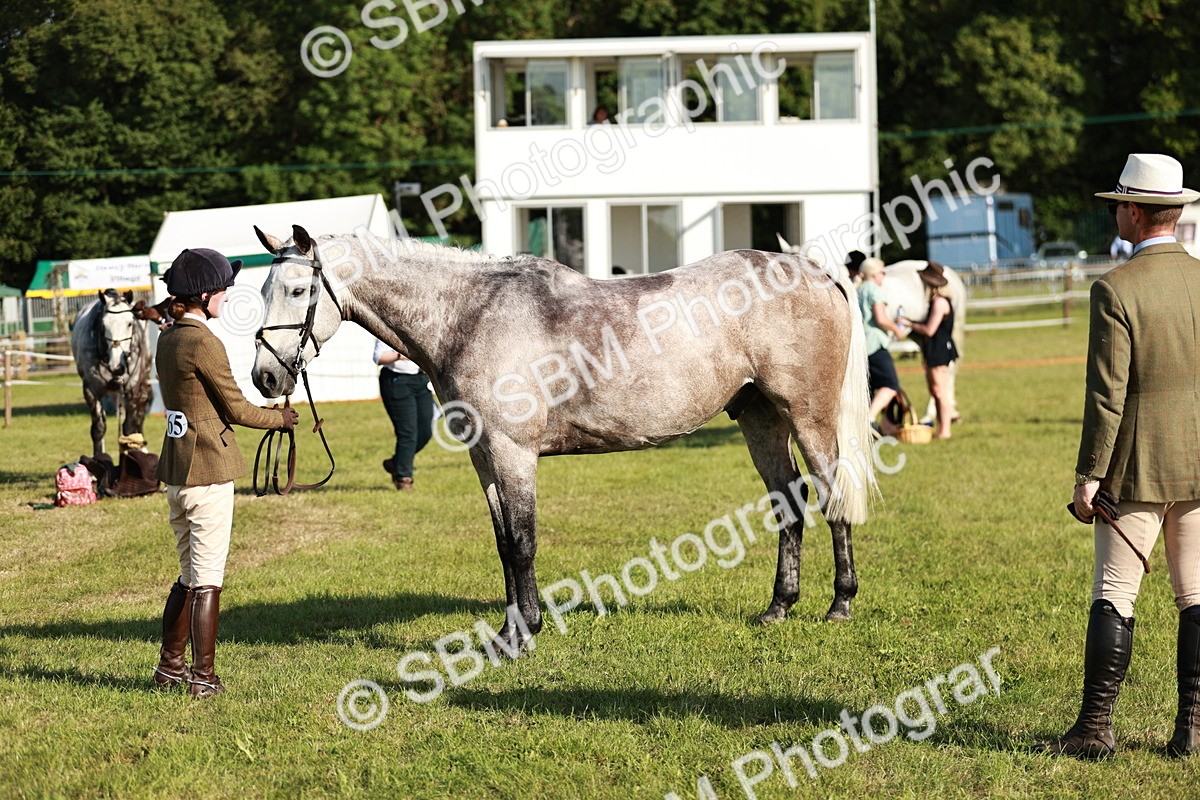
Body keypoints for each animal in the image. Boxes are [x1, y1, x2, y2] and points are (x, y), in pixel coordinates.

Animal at [70, 289, 152, 457]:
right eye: (103, 325)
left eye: (129, 323)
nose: (117, 365)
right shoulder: (92, 391)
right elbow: (98, 429)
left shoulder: (132, 390)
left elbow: (129, 428)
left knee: (138, 417)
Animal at [251, 225, 878, 654]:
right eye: (261, 288)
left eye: (298, 289)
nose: (265, 378)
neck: (471, 315)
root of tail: (814, 271)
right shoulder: (485, 458)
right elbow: (504, 545)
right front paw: (508, 632)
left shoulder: (513, 453)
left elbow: (524, 543)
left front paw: (525, 635)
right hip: (758, 417)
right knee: (788, 500)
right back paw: (778, 607)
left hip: (807, 416)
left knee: (831, 497)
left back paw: (841, 603)